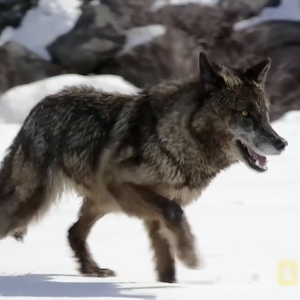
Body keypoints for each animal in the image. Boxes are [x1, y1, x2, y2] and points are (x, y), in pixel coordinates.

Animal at [0, 52, 288, 284]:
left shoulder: (155, 213)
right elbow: (174, 214)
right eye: (244, 114)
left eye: (265, 114)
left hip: (101, 204)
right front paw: (190, 256)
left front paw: (171, 288)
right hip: (33, 205)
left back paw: (94, 271)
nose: (282, 143)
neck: (175, 139)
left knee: (73, 232)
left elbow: (166, 263)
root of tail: (36, 109)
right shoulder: (129, 190)